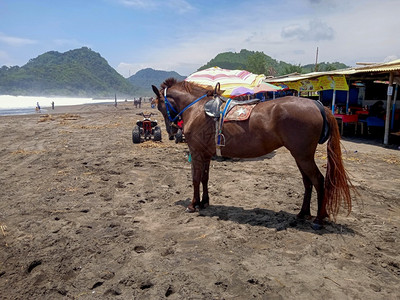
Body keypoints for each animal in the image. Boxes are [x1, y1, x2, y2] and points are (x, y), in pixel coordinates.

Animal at [152, 78, 352, 229]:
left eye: (160, 106)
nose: (171, 131)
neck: (197, 109)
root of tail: (317, 104)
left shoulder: (196, 154)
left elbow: (195, 179)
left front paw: (193, 204)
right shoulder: (205, 155)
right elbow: (204, 179)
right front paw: (204, 202)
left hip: (303, 157)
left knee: (318, 181)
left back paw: (318, 219)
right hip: (301, 157)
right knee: (307, 182)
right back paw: (303, 214)